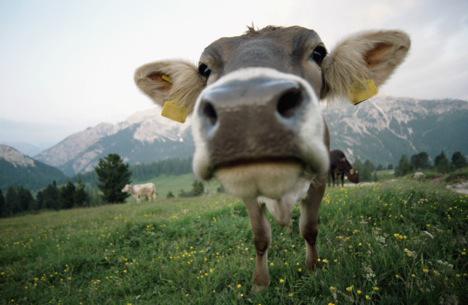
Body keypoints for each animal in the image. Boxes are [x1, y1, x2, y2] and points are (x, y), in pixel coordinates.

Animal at [133, 25, 410, 290]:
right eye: (204, 68)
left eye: (318, 52)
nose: (247, 107)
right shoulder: (247, 193)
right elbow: (260, 237)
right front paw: (260, 283)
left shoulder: (320, 180)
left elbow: (309, 229)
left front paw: (313, 269)